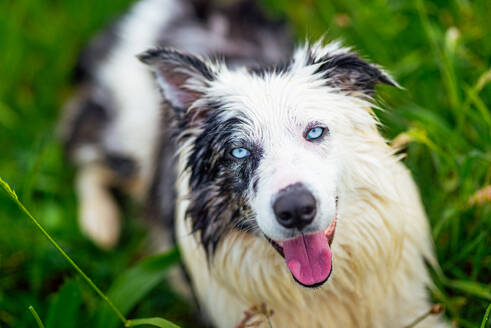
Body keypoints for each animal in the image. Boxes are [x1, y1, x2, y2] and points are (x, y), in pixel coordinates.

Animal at [59, 0, 448, 326]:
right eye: (239, 152)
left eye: (315, 132)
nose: (296, 210)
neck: (324, 289)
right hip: (125, 134)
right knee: (82, 152)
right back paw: (100, 223)